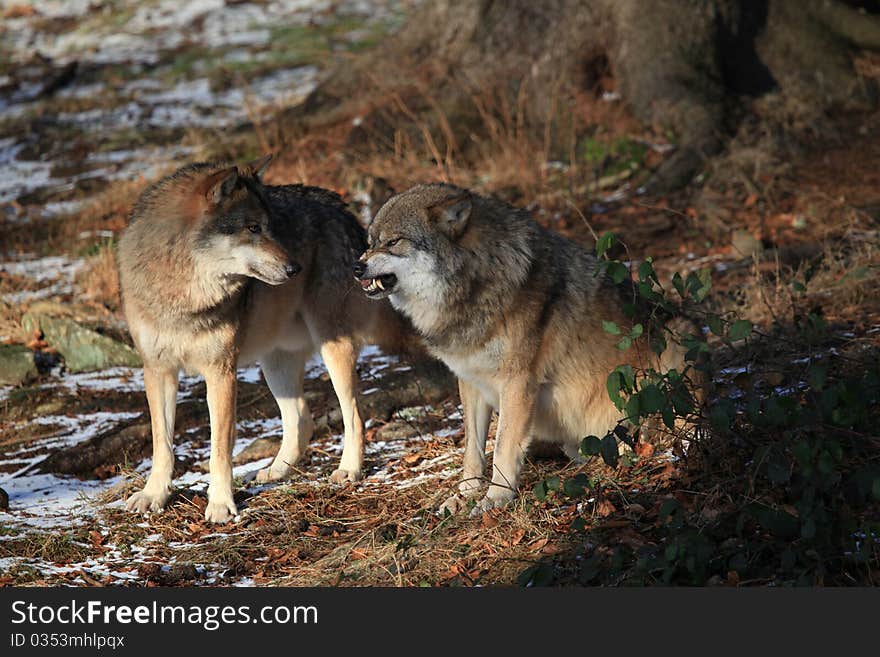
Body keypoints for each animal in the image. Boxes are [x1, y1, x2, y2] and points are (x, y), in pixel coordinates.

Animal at [117, 155, 406, 524]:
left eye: (270, 226)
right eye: (253, 228)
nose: (295, 268)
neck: (183, 295)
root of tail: (344, 210)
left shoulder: (221, 371)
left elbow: (220, 448)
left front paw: (220, 504)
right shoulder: (157, 369)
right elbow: (162, 444)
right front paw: (155, 495)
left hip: (331, 346)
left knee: (353, 414)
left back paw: (349, 470)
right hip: (274, 363)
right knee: (301, 418)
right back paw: (276, 471)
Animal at [356, 183, 696, 512]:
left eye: (393, 241)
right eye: (370, 242)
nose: (356, 267)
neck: (476, 282)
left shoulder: (518, 382)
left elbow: (502, 447)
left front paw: (495, 499)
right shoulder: (470, 382)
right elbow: (473, 450)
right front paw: (464, 495)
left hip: (677, 342)